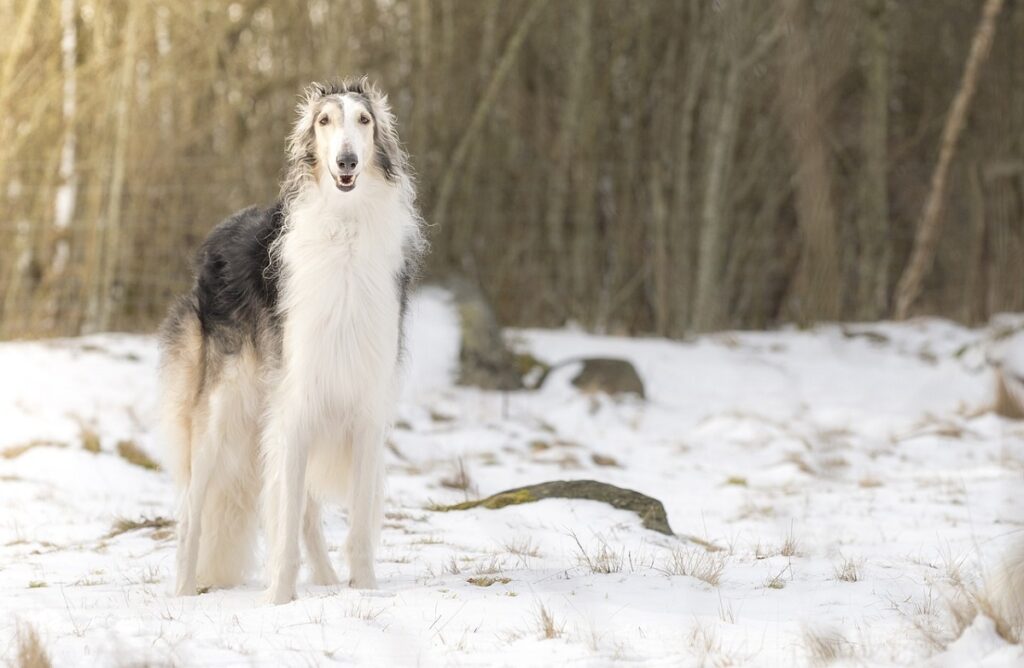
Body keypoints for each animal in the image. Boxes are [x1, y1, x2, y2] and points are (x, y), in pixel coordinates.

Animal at [159, 79, 423, 606]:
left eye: (364, 120)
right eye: (324, 121)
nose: (346, 161)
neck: (344, 230)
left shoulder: (363, 407)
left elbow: (356, 526)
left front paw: (364, 589)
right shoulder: (297, 401)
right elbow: (282, 520)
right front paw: (278, 600)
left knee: (303, 513)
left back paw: (325, 578)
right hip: (222, 410)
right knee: (193, 510)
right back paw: (183, 591)